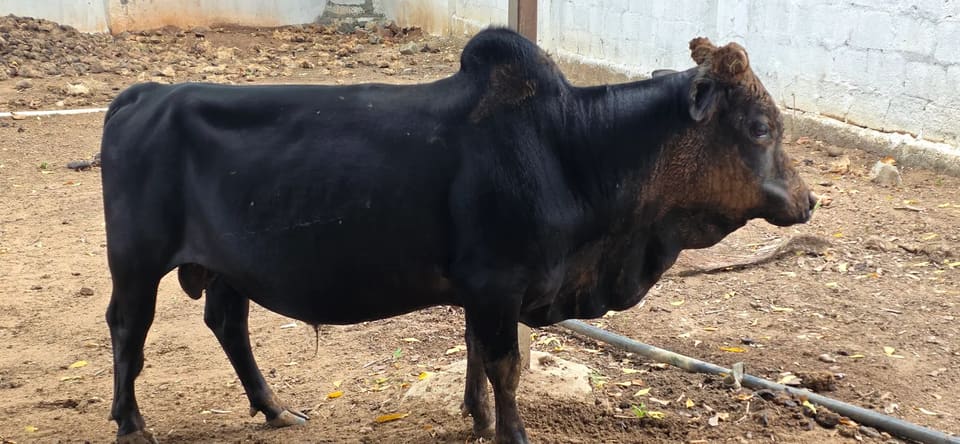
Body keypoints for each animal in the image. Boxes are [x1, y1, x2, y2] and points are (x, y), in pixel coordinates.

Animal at [100, 27, 816, 444]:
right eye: (759, 128)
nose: (809, 201)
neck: (570, 149)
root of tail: (145, 95)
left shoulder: (483, 291)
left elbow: (477, 355)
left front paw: (477, 418)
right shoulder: (498, 284)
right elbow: (505, 366)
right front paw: (509, 433)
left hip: (228, 267)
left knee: (227, 323)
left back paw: (274, 408)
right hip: (135, 261)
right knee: (128, 329)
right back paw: (132, 425)